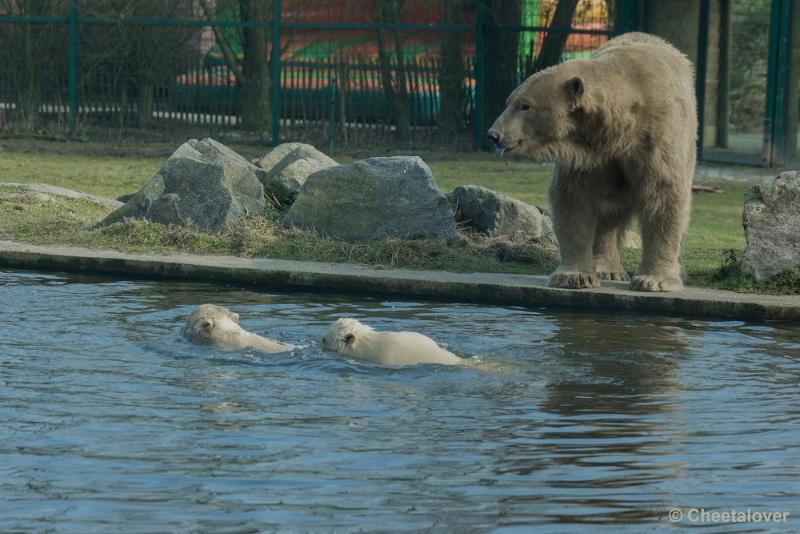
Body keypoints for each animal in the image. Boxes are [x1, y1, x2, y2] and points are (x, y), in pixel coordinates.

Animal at [484, 33, 696, 294]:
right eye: (509, 101)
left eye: (525, 105)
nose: (494, 135)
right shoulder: (589, 156)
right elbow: (574, 198)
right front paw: (574, 276)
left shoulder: (656, 136)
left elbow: (664, 195)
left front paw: (654, 280)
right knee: (609, 212)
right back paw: (607, 268)